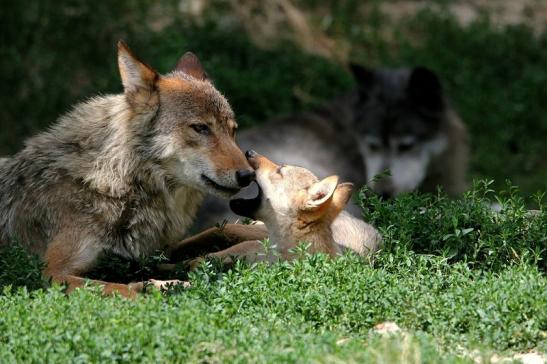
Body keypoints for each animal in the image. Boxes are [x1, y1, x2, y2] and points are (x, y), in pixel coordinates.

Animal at [0, 41, 262, 298]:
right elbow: (118, 288)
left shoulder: (156, 250)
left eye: (233, 130)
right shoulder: (51, 273)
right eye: (200, 128)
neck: (121, 182)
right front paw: (159, 287)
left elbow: (218, 230)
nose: (248, 175)